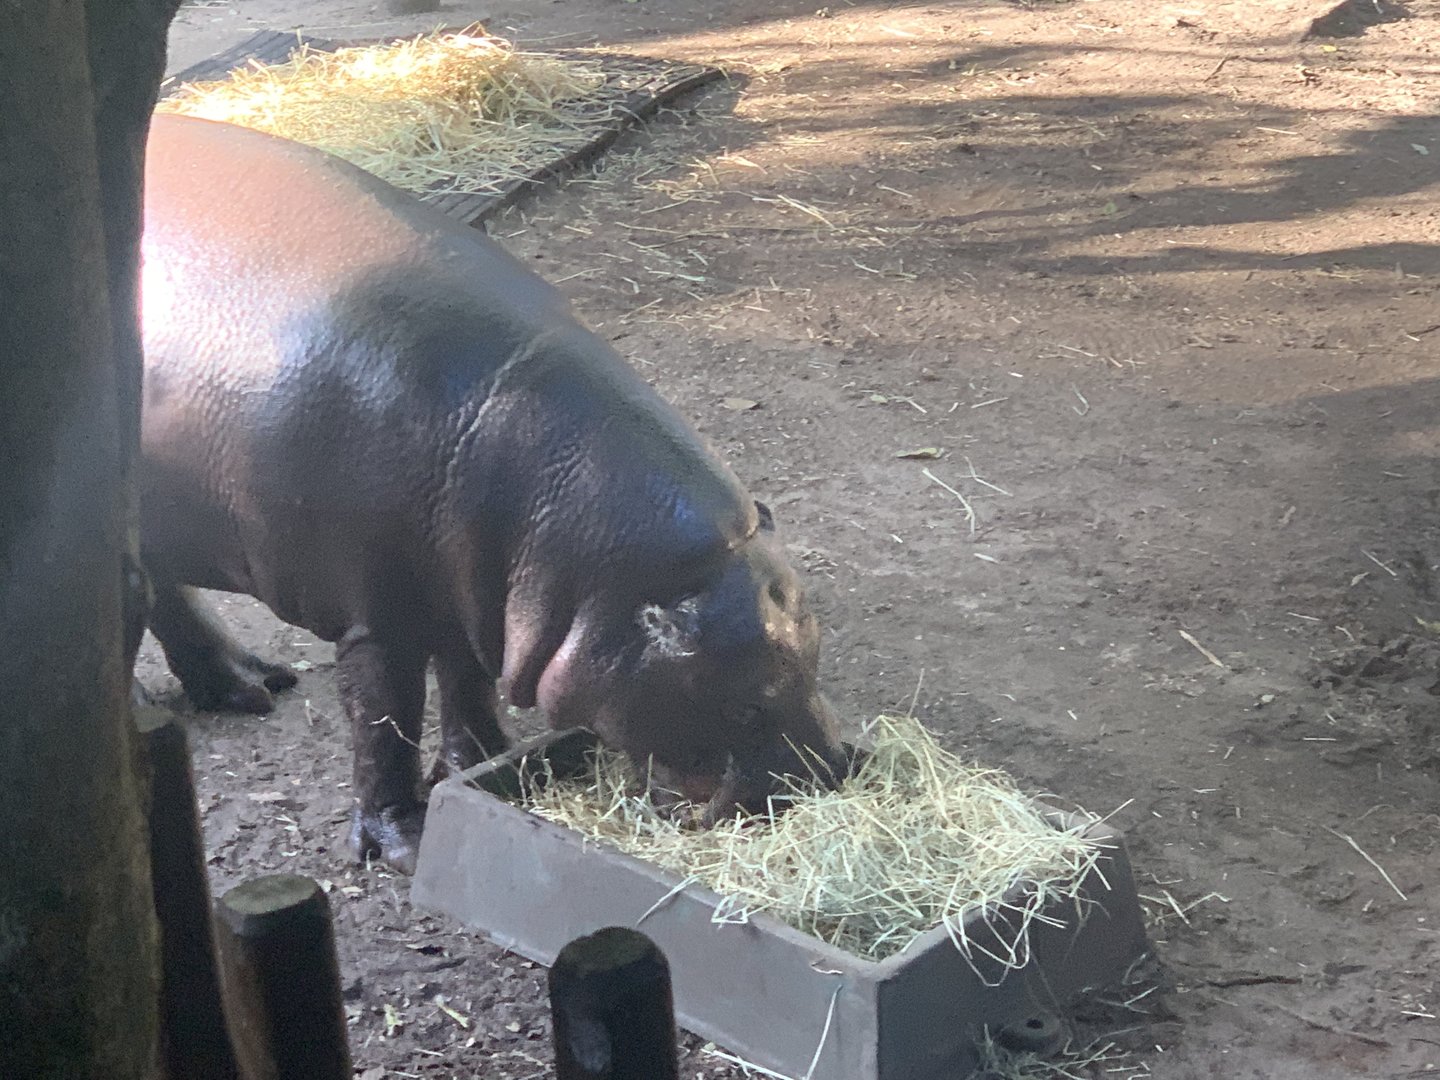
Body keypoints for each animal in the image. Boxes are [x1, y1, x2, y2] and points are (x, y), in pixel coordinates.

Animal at [139, 113, 845, 873]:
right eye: (745, 707)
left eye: (814, 655)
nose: (832, 775)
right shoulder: (375, 615)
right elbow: (384, 723)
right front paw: (406, 842)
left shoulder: (474, 590)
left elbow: (467, 685)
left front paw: (480, 769)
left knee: (163, 596)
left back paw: (252, 684)